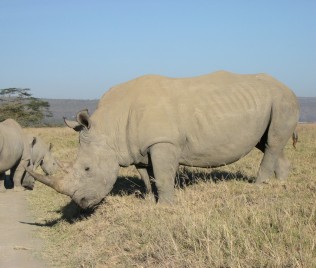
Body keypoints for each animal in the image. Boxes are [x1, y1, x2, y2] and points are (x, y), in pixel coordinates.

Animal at [25, 71, 300, 209]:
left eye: (87, 169)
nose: (82, 204)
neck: (109, 127)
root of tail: (288, 87)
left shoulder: (163, 142)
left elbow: (164, 177)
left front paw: (166, 207)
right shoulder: (137, 148)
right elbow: (148, 177)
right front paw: (149, 202)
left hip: (282, 99)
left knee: (272, 144)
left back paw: (258, 186)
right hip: (269, 102)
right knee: (269, 143)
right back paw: (279, 185)